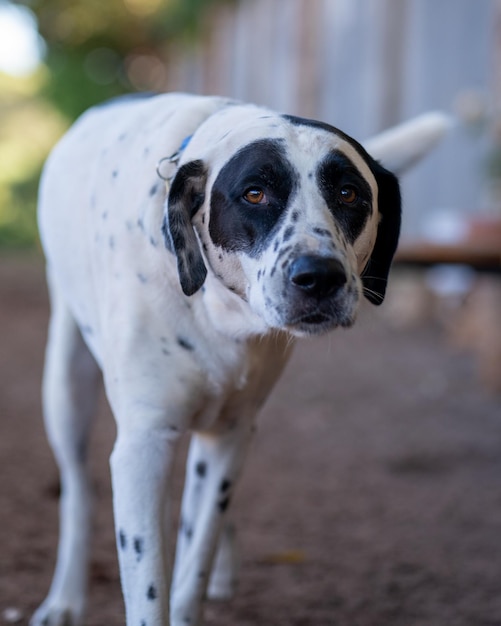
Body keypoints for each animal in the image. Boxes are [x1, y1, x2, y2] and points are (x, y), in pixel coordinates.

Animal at [30, 94, 446, 624]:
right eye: (254, 194)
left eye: (350, 193)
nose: (319, 276)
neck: (221, 316)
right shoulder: (144, 445)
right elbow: (150, 589)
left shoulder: (229, 434)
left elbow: (194, 565)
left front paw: (203, 579)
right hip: (66, 385)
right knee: (78, 492)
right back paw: (64, 598)